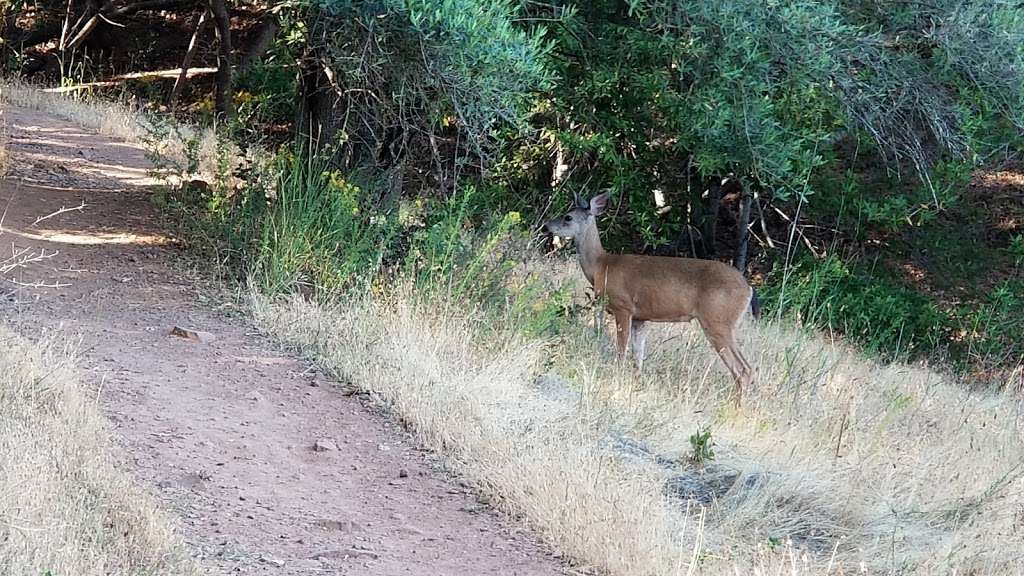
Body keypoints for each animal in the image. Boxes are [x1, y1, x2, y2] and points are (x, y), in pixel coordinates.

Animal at [544, 190, 761, 401]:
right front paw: (635, 386)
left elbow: (621, 351)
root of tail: (748, 288)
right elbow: (638, 357)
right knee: (747, 369)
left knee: (743, 369)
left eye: (568, 217)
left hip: (717, 320)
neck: (601, 266)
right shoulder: (640, 318)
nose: (547, 227)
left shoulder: (623, 306)